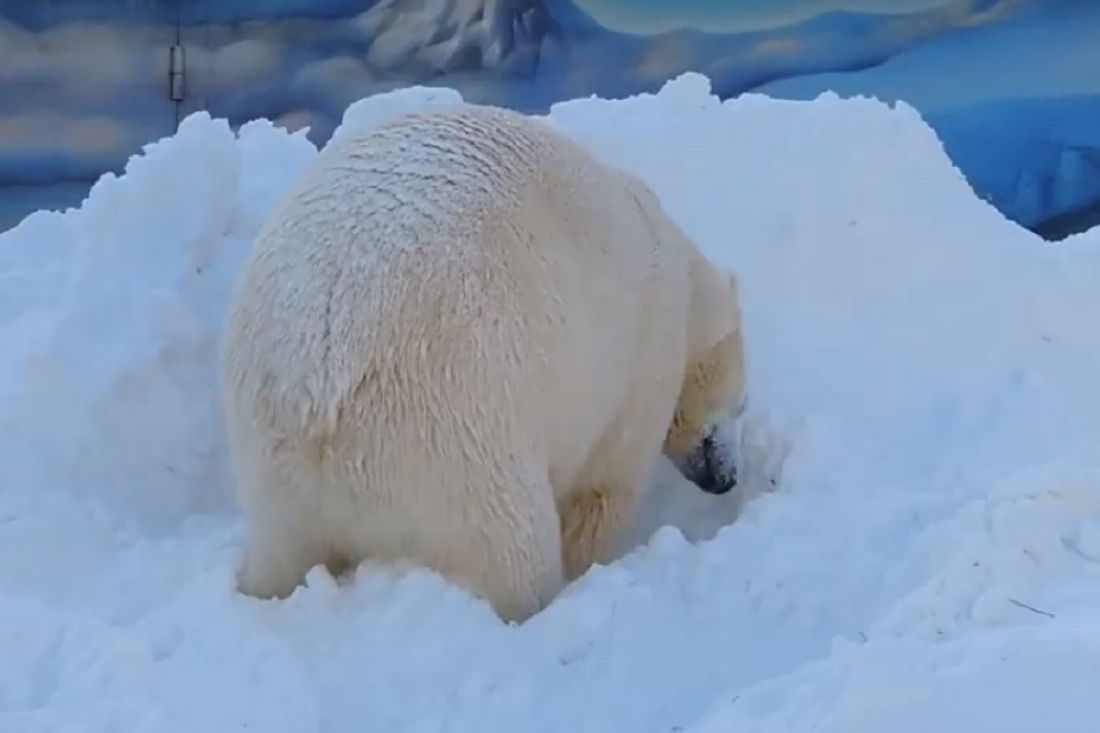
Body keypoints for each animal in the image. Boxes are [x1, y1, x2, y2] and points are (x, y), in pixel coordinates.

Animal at [218, 100, 743, 620]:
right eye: (740, 406)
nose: (727, 479)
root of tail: (315, 381)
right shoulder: (640, 355)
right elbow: (604, 486)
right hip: (455, 431)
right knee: (513, 552)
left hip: (272, 463)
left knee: (279, 553)